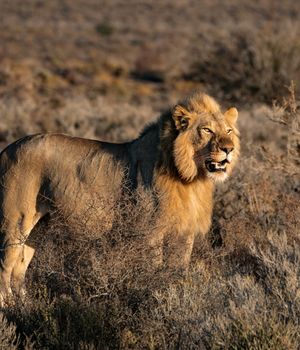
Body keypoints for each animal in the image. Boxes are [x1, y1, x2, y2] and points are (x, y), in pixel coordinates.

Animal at [0, 91, 240, 302]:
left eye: (228, 130)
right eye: (207, 130)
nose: (228, 149)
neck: (190, 178)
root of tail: (7, 149)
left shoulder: (184, 232)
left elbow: (179, 270)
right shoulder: (151, 231)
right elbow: (154, 268)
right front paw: (154, 296)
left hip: (39, 226)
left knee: (19, 268)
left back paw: (25, 306)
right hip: (16, 220)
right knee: (5, 266)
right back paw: (9, 309)